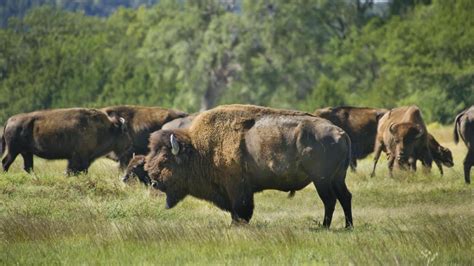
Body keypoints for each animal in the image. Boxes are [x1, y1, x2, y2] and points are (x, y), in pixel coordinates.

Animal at [0, 108, 130, 175]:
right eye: (124, 131)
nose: (129, 145)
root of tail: (9, 120)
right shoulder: (78, 157)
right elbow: (72, 170)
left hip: (26, 153)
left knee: (28, 167)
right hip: (13, 151)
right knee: (6, 162)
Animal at [146, 105, 354, 228]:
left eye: (165, 160)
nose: (154, 182)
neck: (200, 149)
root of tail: (341, 133)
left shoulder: (237, 188)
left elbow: (240, 209)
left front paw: (237, 225)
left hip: (321, 180)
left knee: (330, 200)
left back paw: (324, 226)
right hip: (337, 178)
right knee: (345, 197)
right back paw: (348, 226)